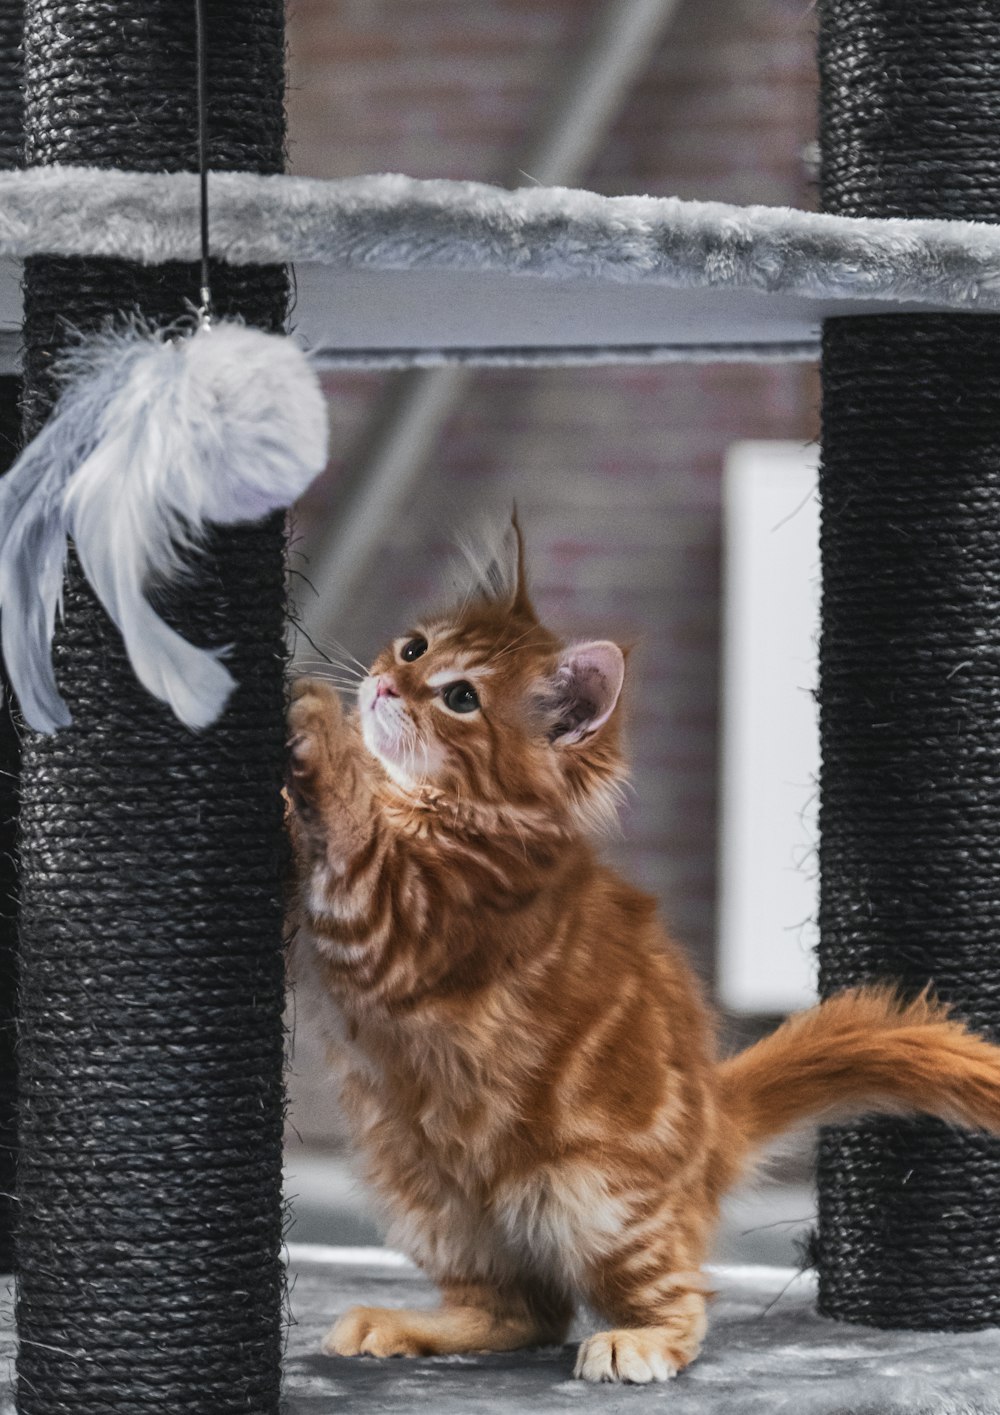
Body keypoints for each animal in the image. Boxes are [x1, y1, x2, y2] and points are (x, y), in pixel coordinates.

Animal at [287, 520, 1000, 1381]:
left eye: (461, 697)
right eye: (415, 647)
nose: (387, 686)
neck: (444, 810)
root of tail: (716, 1118)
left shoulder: (403, 916)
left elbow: (354, 828)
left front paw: (315, 724)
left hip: (595, 1194)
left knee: (673, 1299)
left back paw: (640, 1340)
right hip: (427, 1194)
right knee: (524, 1312)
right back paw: (405, 1324)